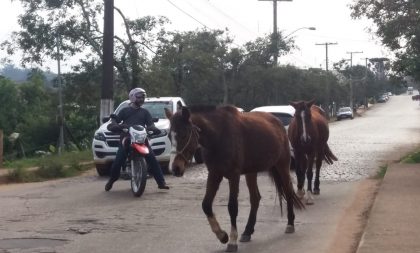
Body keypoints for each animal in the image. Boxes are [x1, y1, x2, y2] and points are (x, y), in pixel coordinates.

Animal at [165, 104, 306, 251]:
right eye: (169, 136)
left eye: (184, 134)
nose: (174, 168)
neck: (218, 136)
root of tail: (278, 123)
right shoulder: (214, 174)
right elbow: (206, 205)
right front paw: (222, 235)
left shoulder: (234, 176)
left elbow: (232, 207)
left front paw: (232, 240)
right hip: (251, 172)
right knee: (255, 198)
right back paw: (247, 231)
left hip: (282, 166)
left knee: (288, 192)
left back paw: (290, 224)